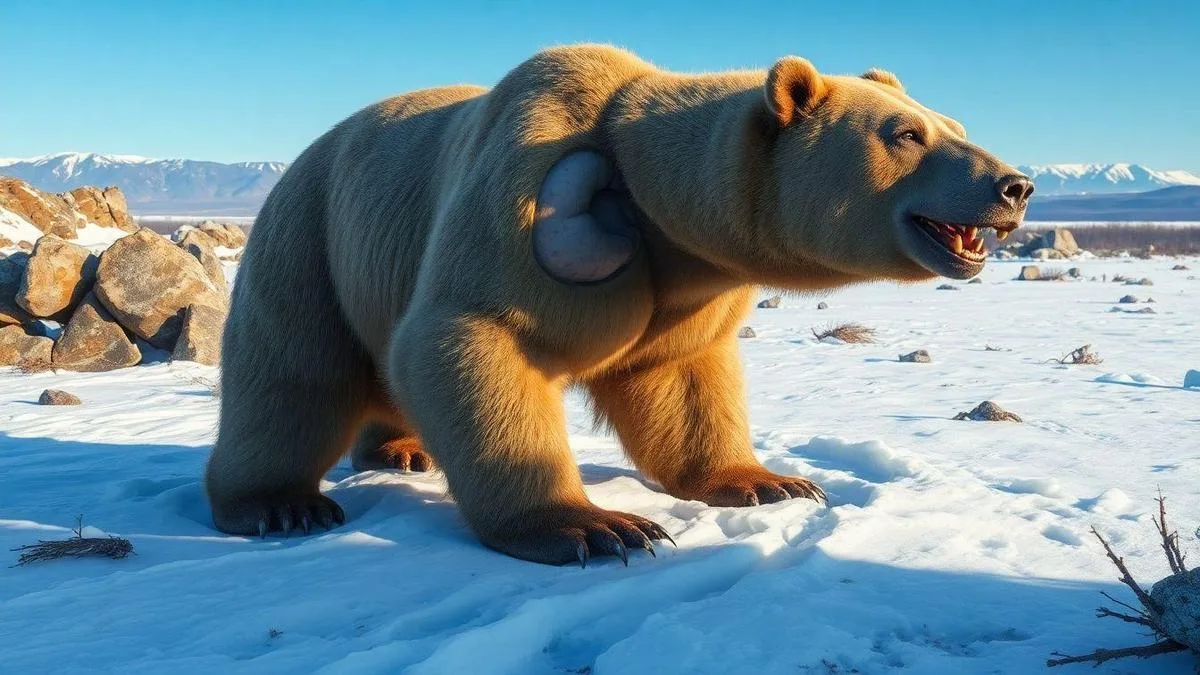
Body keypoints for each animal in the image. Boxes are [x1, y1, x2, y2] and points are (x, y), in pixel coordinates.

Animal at [205, 44, 1033, 565]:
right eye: (906, 133)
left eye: (955, 124)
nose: (1016, 184)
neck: (641, 191)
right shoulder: (533, 204)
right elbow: (474, 337)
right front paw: (600, 528)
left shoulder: (687, 285)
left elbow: (682, 380)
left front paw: (770, 479)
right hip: (309, 239)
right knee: (293, 375)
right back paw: (279, 503)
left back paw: (402, 449)